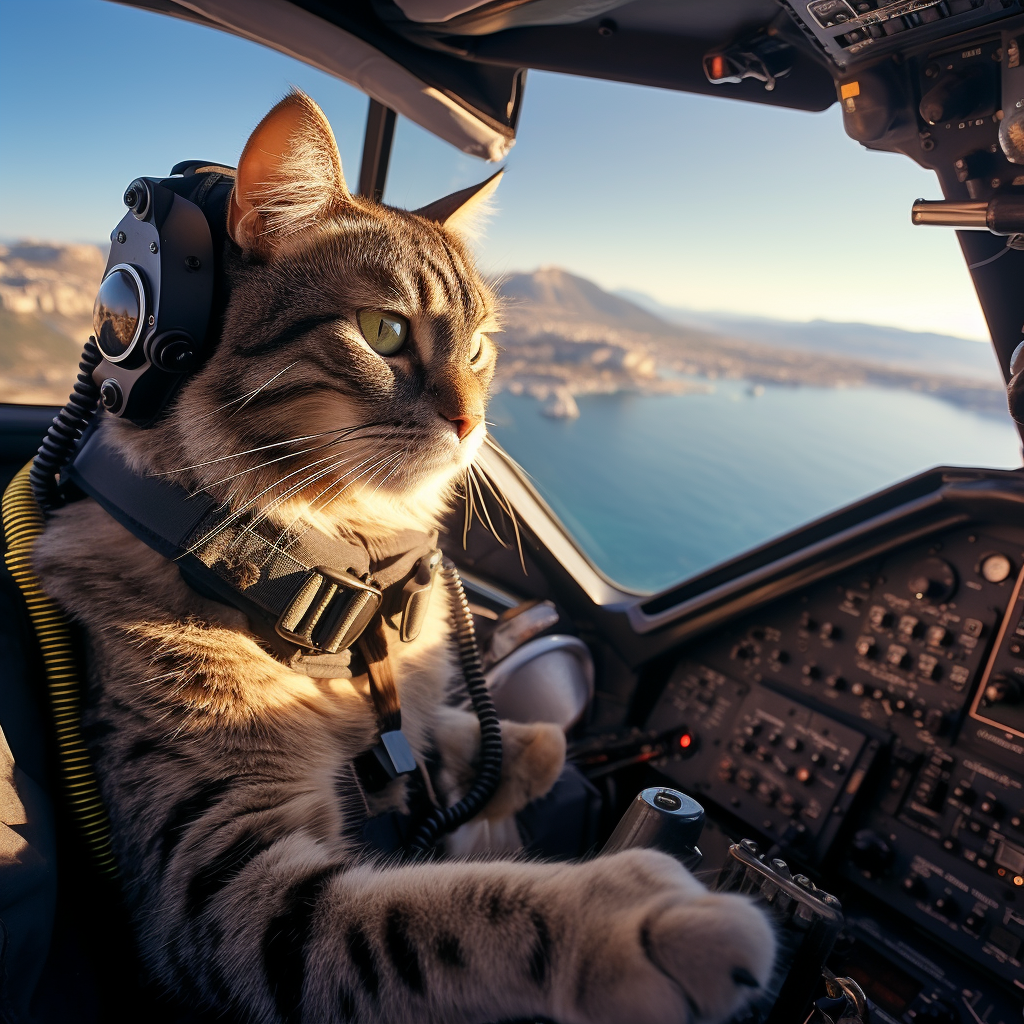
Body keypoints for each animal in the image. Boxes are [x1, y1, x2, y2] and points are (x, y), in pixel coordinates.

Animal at [34, 92, 774, 1019]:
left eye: (481, 346)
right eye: (382, 331)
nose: (473, 423)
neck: (330, 595)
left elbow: (484, 740)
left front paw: (524, 751)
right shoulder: (226, 891)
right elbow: (443, 918)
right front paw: (638, 924)